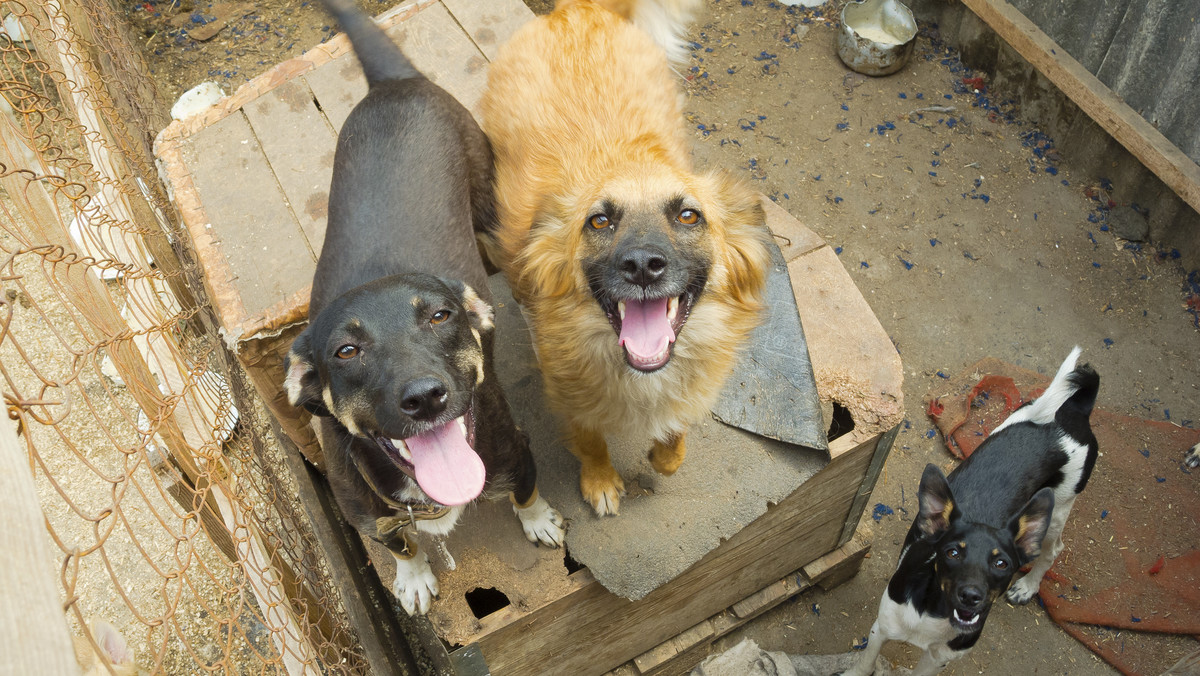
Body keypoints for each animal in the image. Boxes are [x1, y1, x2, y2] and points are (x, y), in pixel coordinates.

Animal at [283, 0, 564, 614]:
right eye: (345, 350)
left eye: (441, 316)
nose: (424, 397)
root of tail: (395, 83)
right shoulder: (370, 516)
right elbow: (403, 545)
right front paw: (411, 576)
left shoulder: (515, 451)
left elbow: (527, 491)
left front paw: (539, 521)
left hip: (489, 206)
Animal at [477, 0, 768, 516]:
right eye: (599, 221)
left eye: (689, 215)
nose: (643, 266)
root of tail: (578, 10)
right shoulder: (570, 397)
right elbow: (592, 440)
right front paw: (600, 480)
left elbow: (674, 443)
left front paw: (663, 452)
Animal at [844, 348, 1099, 676]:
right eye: (952, 552)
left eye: (1002, 563)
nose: (971, 597)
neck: (934, 612)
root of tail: (1073, 411)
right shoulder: (881, 629)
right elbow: (864, 664)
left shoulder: (938, 658)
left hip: (1057, 511)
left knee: (1052, 551)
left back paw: (1027, 587)